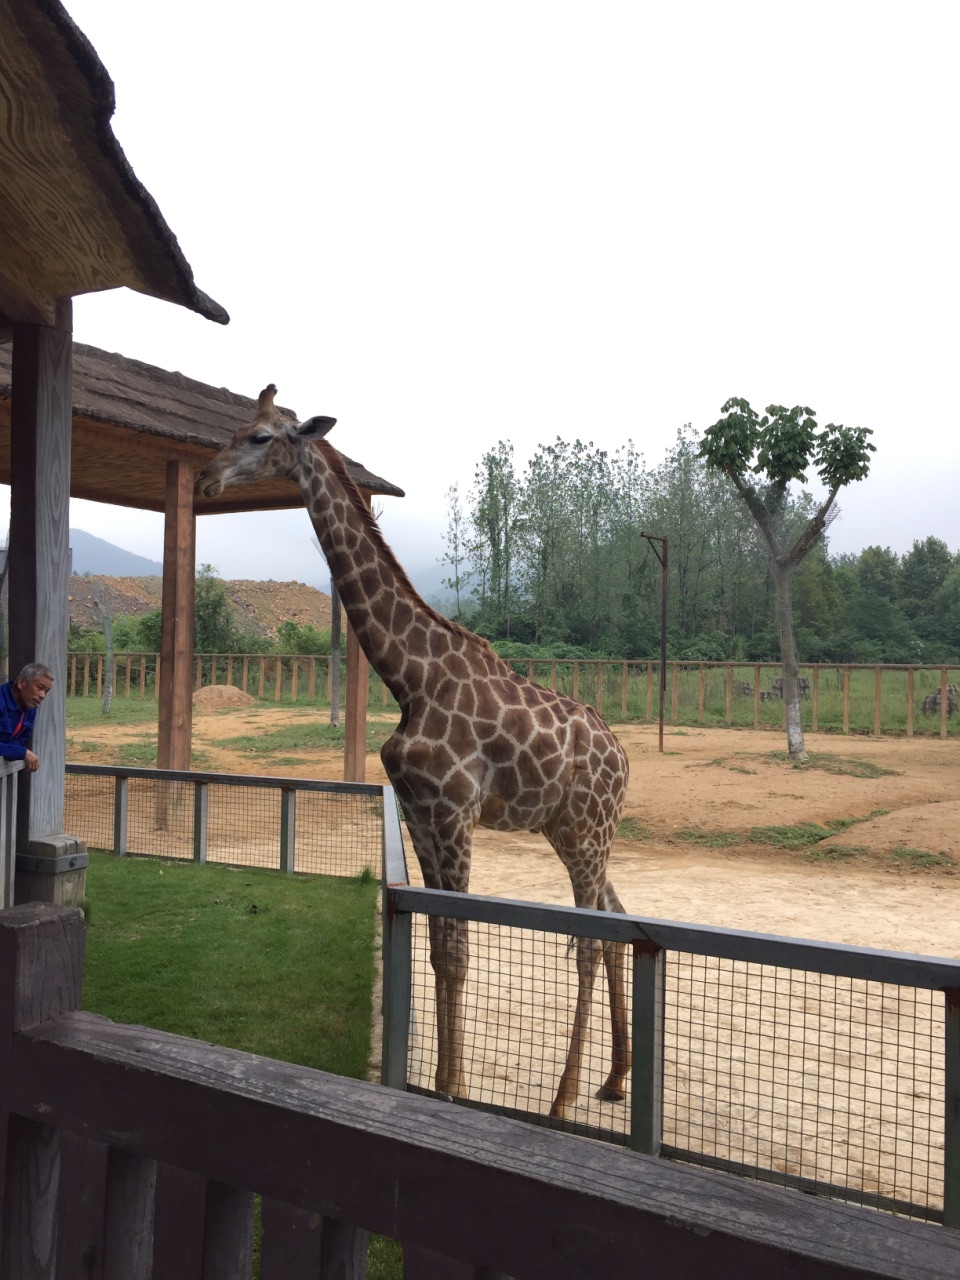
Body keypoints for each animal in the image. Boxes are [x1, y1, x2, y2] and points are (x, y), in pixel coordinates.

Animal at [194, 384, 632, 1116]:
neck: (409, 678)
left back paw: (563, 1100)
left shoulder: (454, 816)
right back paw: (615, 1078)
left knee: (592, 939)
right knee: (620, 919)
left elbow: (457, 950)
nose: (203, 479)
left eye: (259, 437)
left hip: (585, 829)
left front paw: (453, 1092)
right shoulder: (422, 818)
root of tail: (626, 762)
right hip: (571, 828)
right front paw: (444, 1087)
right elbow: (435, 946)